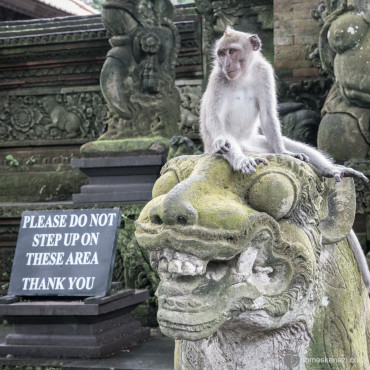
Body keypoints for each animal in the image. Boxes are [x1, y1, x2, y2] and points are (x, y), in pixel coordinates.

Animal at [199, 26, 370, 292]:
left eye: (232, 51)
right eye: (221, 53)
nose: (226, 63)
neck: (243, 76)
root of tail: (247, 146)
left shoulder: (264, 72)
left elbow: (269, 116)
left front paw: (286, 153)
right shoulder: (218, 78)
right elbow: (215, 121)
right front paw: (233, 155)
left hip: (257, 143)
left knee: (291, 146)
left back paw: (326, 168)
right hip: (234, 145)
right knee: (228, 142)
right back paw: (240, 158)